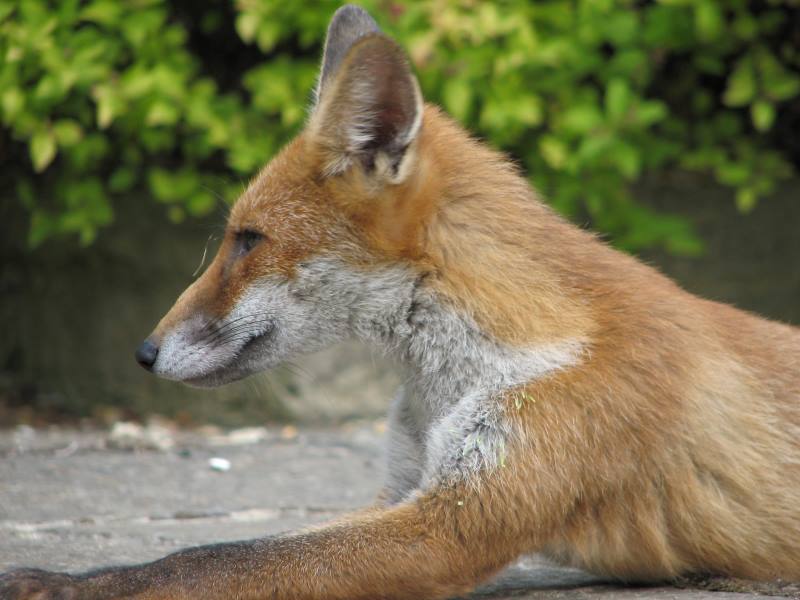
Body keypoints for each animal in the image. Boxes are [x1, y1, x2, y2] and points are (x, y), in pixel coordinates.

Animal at [3, 4, 796, 600]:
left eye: (248, 240)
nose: (143, 352)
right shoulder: (403, 491)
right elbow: (236, 548)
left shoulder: (449, 524)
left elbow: (209, 560)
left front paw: (68, 584)